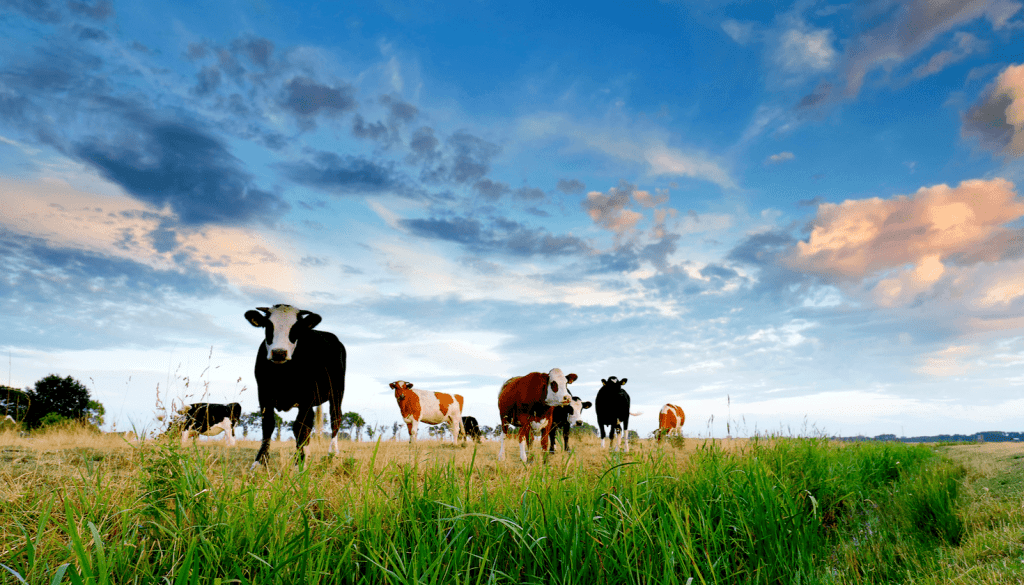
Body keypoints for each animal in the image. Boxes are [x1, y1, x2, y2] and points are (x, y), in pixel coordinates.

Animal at [244, 305, 348, 469]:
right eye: (268, 325)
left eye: (296, 328)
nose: (279, 352)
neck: (283, 373)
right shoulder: (263, 393)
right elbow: (268, 424)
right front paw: (259, 462)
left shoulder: (307, 396)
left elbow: (299, 427)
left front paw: (299, 462)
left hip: (337, 391)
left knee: (335, 418)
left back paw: (333, 453)